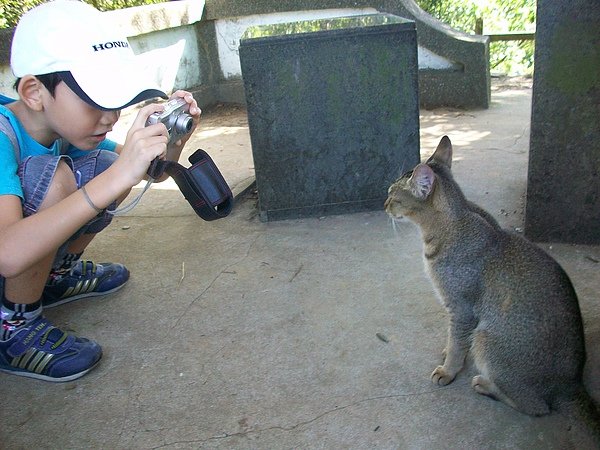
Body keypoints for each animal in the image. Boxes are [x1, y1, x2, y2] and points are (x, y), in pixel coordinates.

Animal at [384, 135, 600, 444]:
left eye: (393, 194)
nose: (384, 204)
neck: (454, 222)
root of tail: (571, 384)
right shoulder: (459, 314)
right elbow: (454, 339)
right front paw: (450, 350)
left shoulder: (461, 308)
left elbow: (458, 342)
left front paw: (448, 370)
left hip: (487, 339)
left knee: (538, 407)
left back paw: (486, 386)